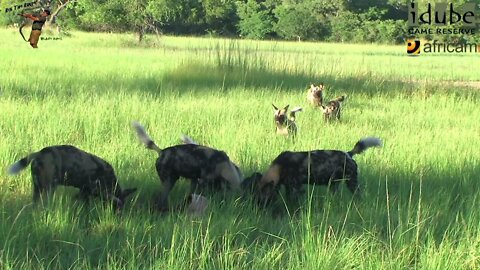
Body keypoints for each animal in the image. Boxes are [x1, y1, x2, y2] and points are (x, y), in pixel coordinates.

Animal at [6, 144, 136, 208]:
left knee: (35, 203)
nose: (119, 215)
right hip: (49, 188)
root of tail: (40, 152)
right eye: (118, 208)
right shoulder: (92, 190)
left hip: (37, 188)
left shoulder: (84, 191)